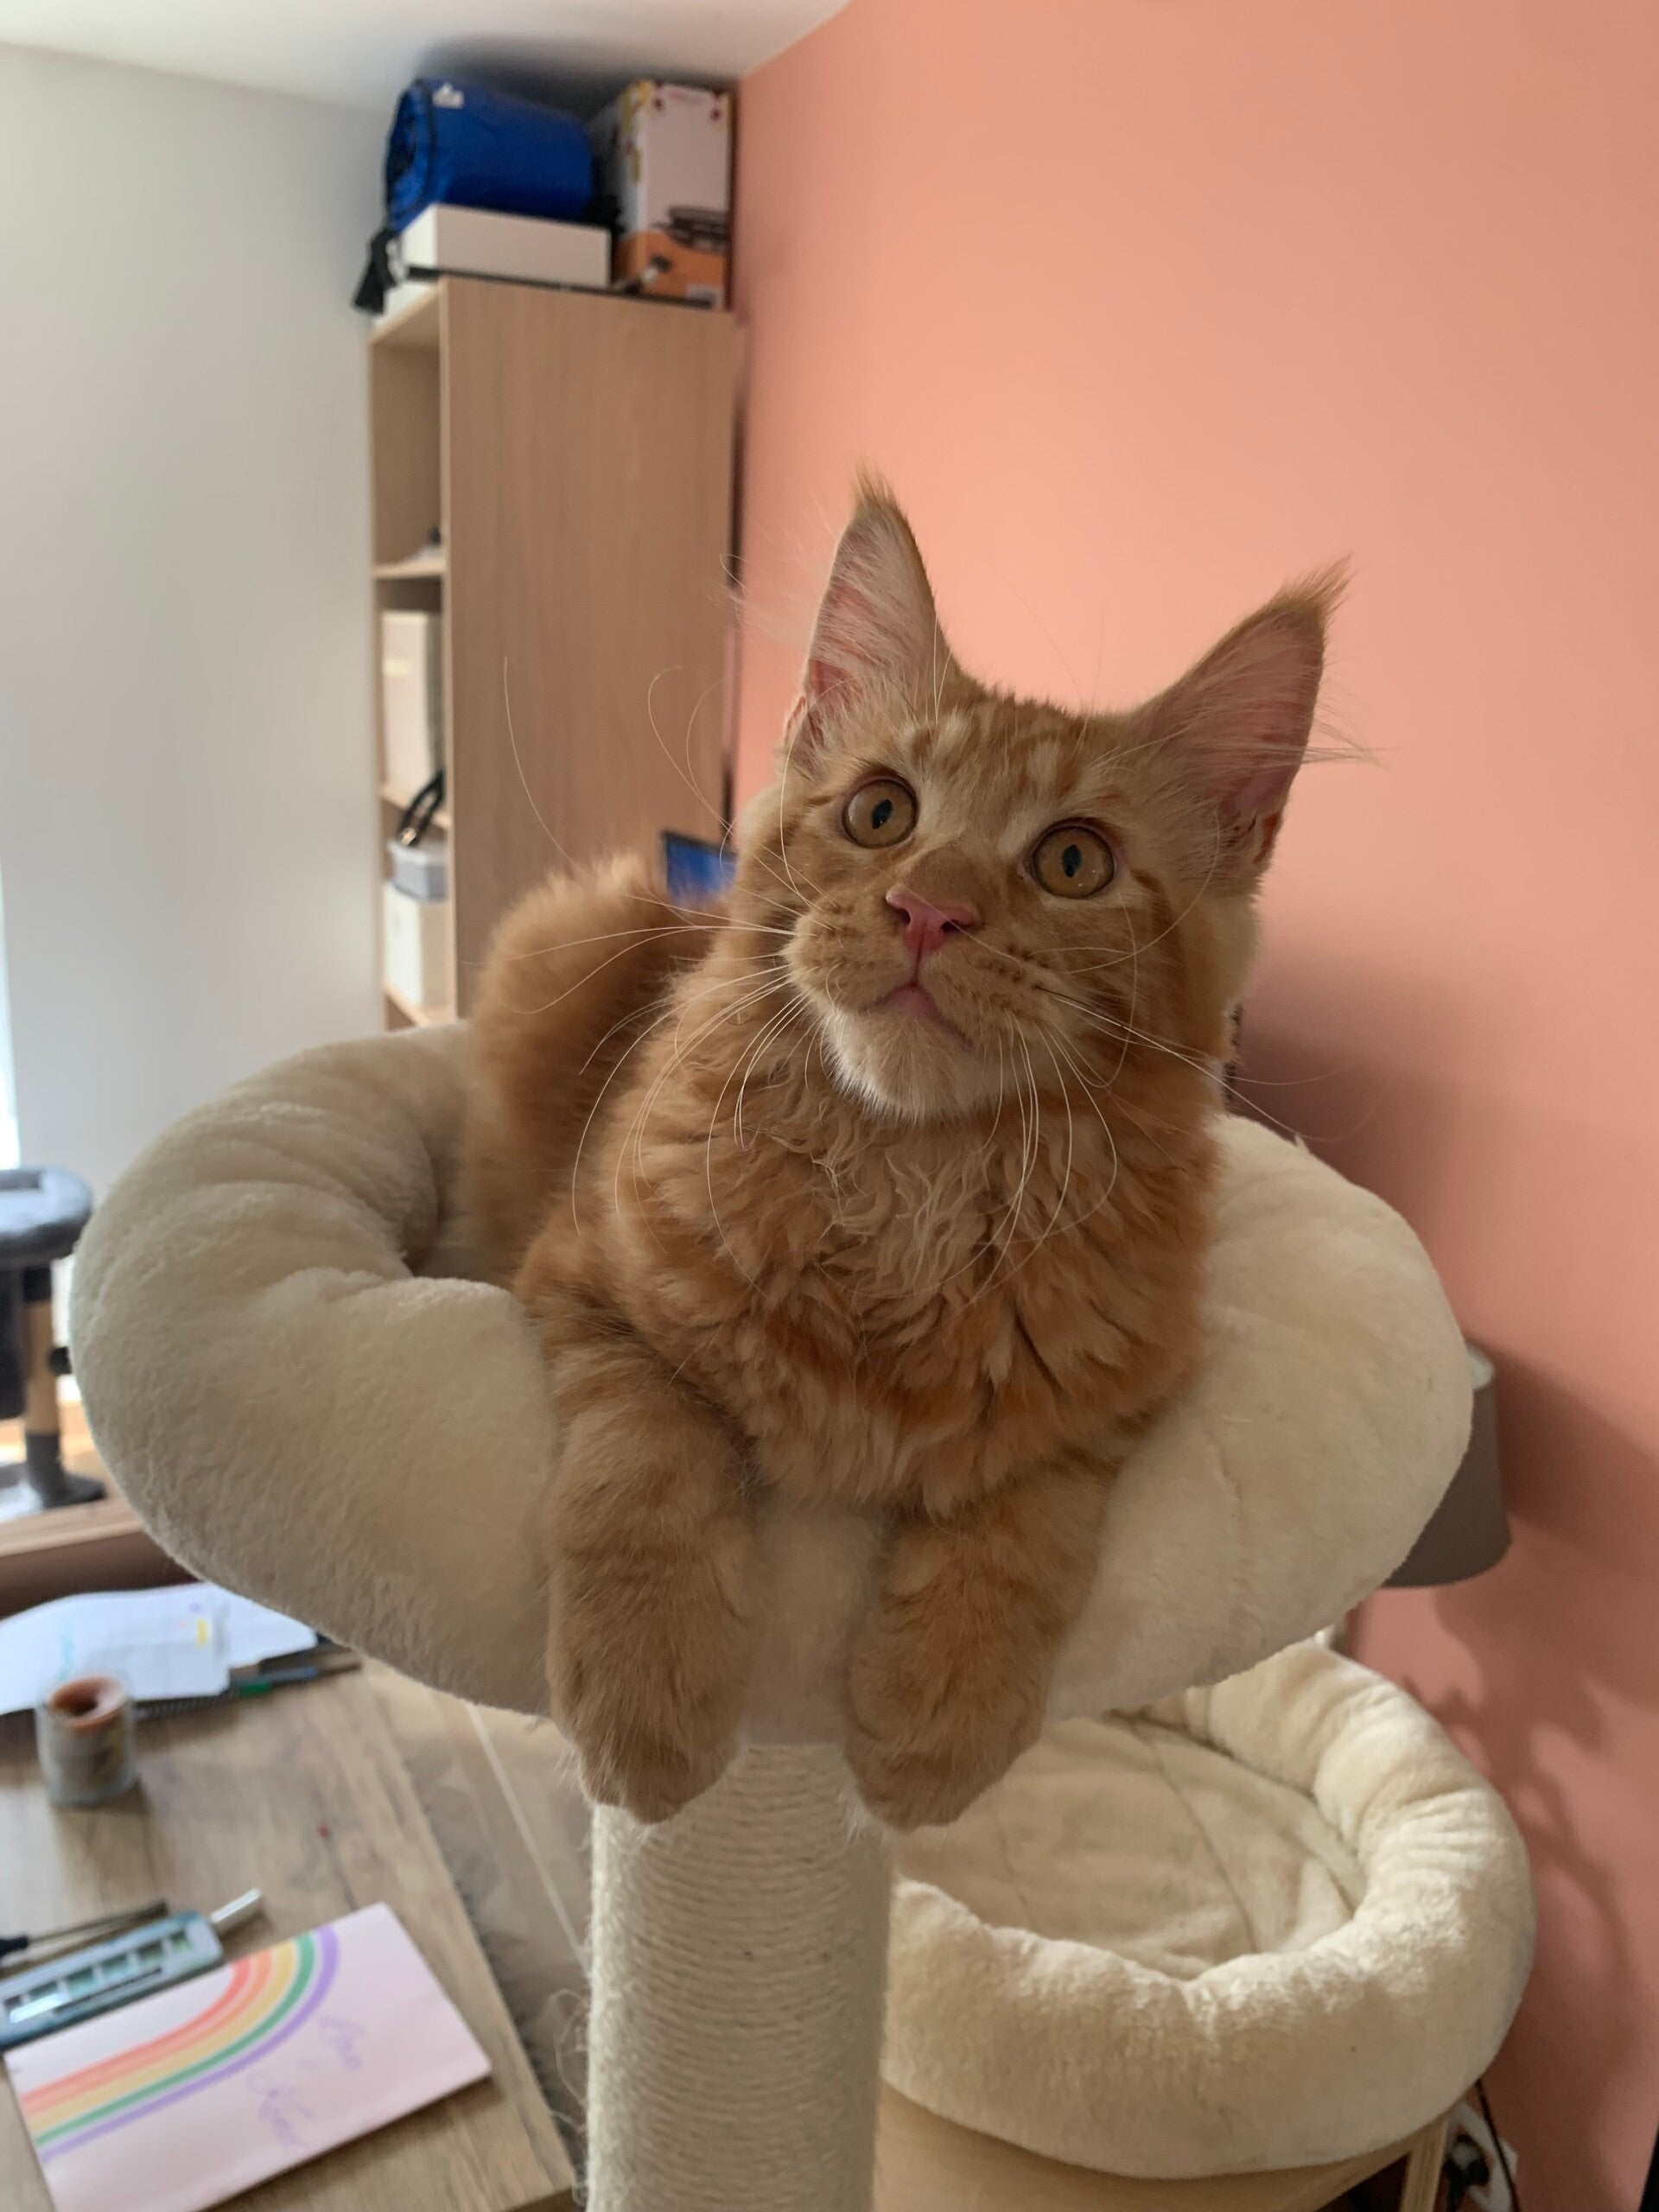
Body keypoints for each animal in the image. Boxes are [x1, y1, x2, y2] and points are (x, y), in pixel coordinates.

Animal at [463, 478, 1334, 1830]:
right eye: (883, 812)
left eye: (1073, 860)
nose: (930, 910)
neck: (909, 1185)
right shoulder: (589, 1282)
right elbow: (646, 1468)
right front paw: (647, 1695)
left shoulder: (1122, 1387)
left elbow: (1019, 1527)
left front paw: (938, 1716)